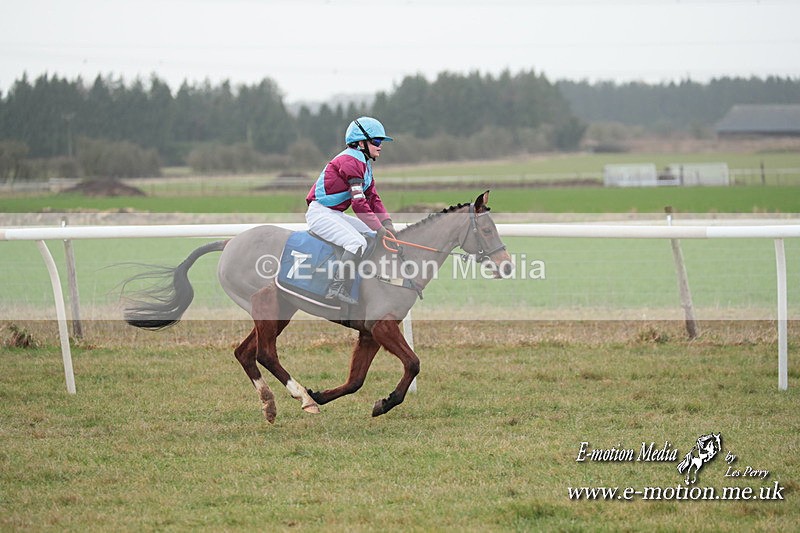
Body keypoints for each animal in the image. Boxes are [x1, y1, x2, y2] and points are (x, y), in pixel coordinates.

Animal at [122, 191, 512, 423]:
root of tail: (230, 241)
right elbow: (413, 363)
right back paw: (298, 397)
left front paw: (324, 395)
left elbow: (355, 380)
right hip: (269, 305)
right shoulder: (383, 326)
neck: (400, 261)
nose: (507, 266)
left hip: (278, 309)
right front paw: (383, 401)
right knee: (264, 353)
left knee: (244, 353)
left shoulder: (369, 333)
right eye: (487, 230)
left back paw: (271, 404)